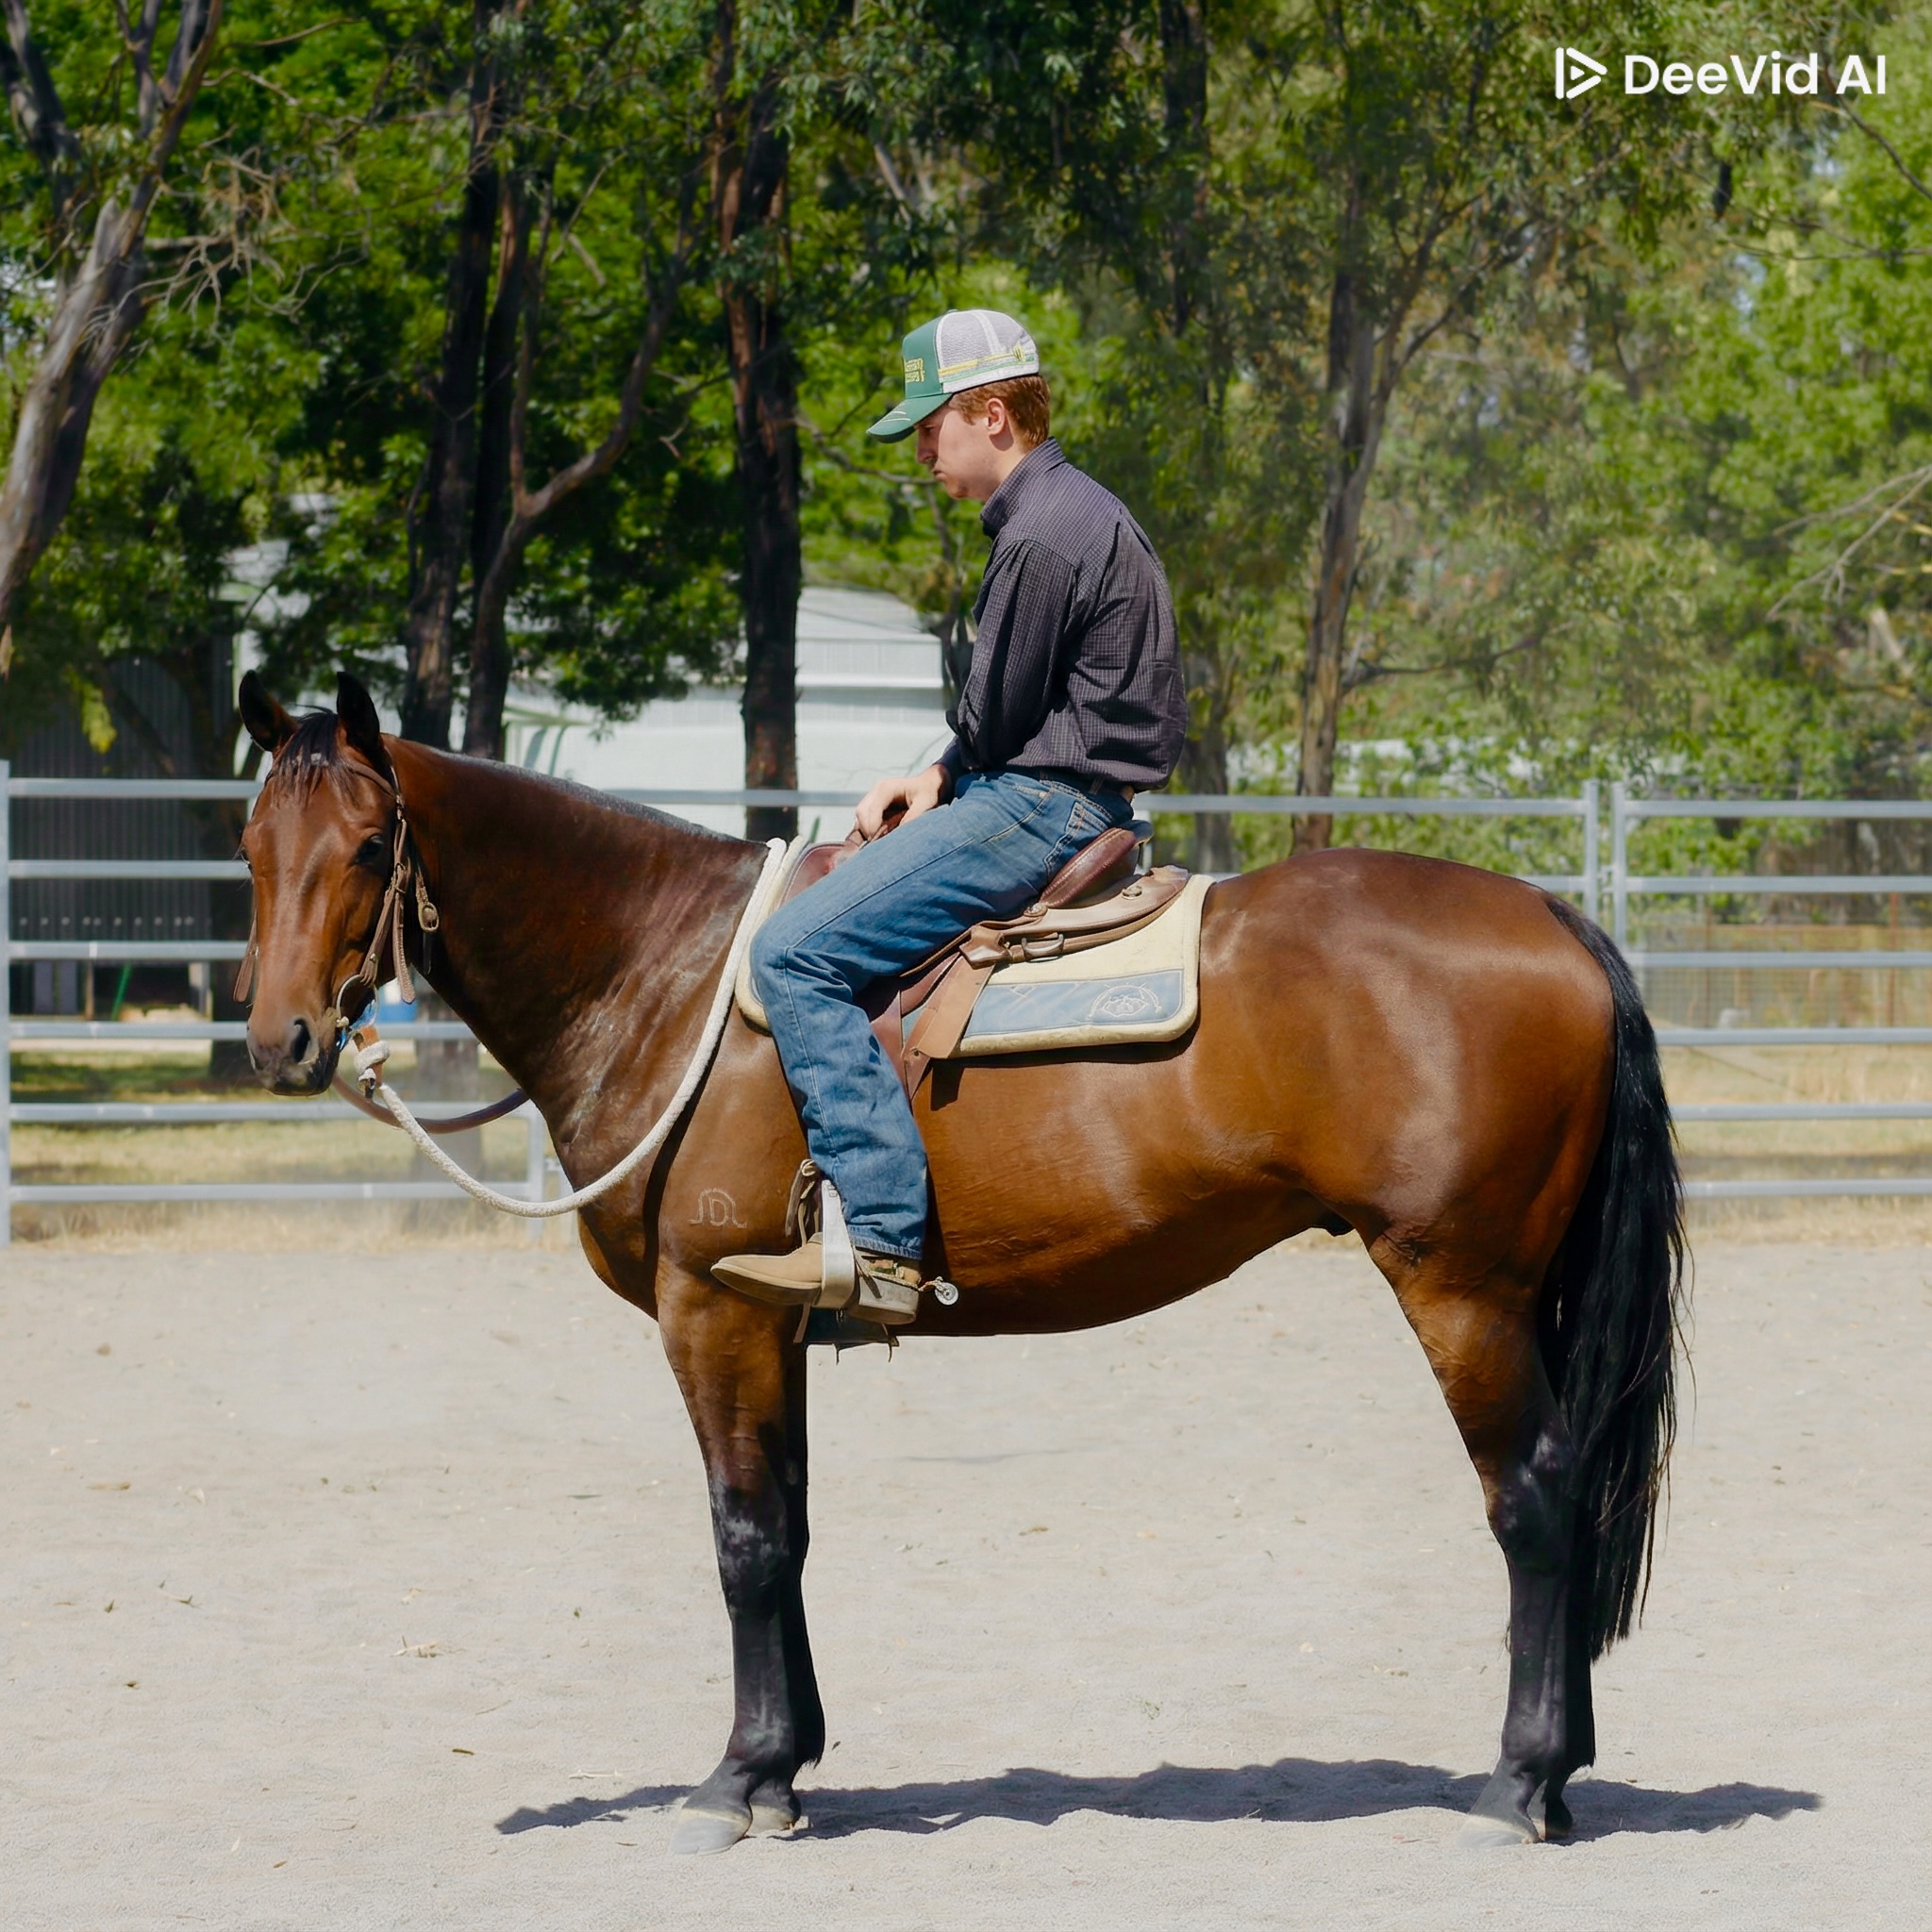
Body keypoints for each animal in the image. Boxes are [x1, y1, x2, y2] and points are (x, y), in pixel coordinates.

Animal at [235, 670, 1683, 1853]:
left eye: (370, 843)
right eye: (250, 845)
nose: (280, 1039)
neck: (664, 972)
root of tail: (1556, 920)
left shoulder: (707, 1310)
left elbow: (743, 1538)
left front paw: (736, 1780)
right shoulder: (769, 1322)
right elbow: (791, 1529)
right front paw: (790, 1765)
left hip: (1458, 1286)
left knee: (1533, 1496)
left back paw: (1516, 1782)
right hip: (1518, 1292)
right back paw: (1561, 1774)